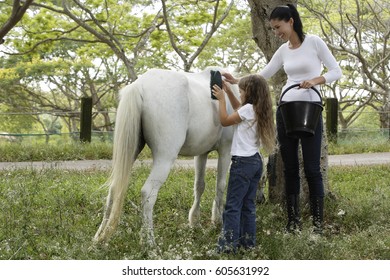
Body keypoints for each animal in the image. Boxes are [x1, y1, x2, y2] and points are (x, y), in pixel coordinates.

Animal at [93, 68, 238, 245]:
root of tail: (140, 85)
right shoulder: (226, 149)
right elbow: (221, 185)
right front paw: (218, 221)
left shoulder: (201, 153)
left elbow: (199, 185)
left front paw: (194, 222)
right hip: (165, 158)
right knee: (148, 193)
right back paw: (149, 242)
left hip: (132, 151)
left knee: (114, 189)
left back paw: (100, 237)